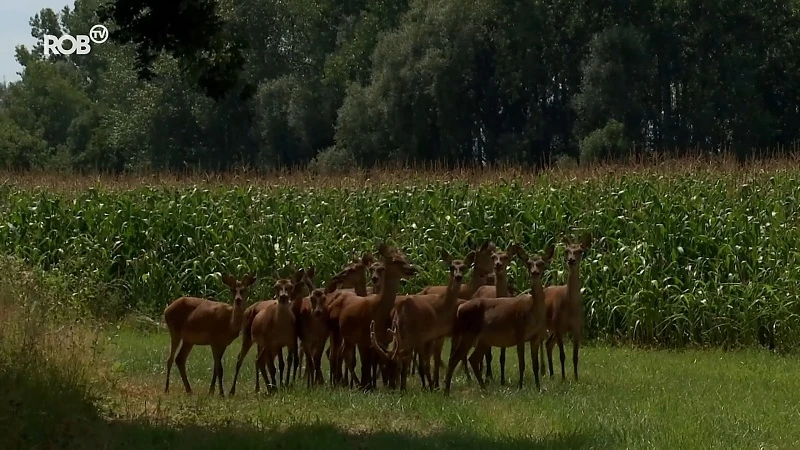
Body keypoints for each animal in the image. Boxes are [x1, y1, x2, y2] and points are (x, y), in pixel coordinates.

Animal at [370, 250, 472, 390]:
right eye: (451, 267)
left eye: (464, 267)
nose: (458, 276)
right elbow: (415, 361)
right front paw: (408, 387)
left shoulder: (429, 336)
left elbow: (425, 362)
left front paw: (430, 386)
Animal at [444, 244, 556, 396]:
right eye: (528, 263)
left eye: (541, 263)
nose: (534, 272)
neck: (532, 312)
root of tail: (460, 308)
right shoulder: (519, 333)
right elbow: (522, 363)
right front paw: (521, 386)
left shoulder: (535, 337)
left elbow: (535, 365)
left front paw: (538, 387)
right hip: (469, 333)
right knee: (455, 358)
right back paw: (446, 391)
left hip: (483, 338)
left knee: (472, 358)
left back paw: (484, 389)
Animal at [536, 234, 592, 382]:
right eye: (567, 250)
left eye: (580, 251)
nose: (571, 260)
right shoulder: (559, 325)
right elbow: (562, 355)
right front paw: (563, 378)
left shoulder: (577, 327)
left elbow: (575, 356)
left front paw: (576, 378)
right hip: (544, 323)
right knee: (541, 342)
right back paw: (543, 371)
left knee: (548, 344)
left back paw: (551, 373)